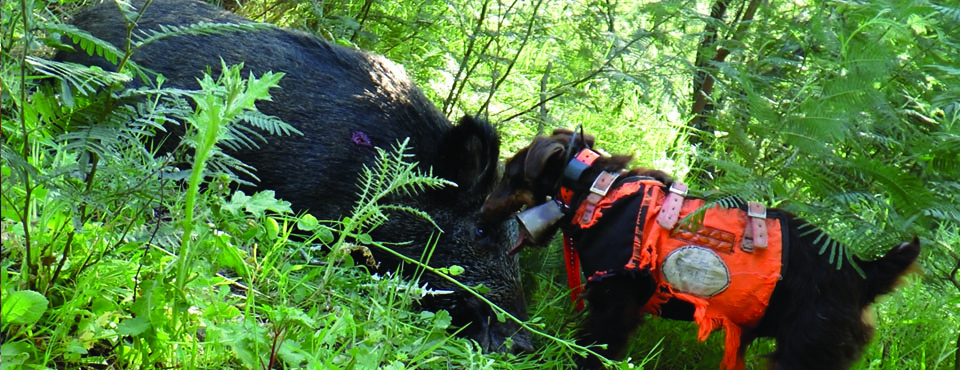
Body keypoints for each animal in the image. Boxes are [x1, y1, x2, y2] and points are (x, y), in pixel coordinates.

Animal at [484, 129, 920, 368]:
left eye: (508, 176)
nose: (482, 211)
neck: (596, 191)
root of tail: (863, 273)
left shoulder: (614, 309)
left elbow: (592, 351)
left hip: (806, 351)